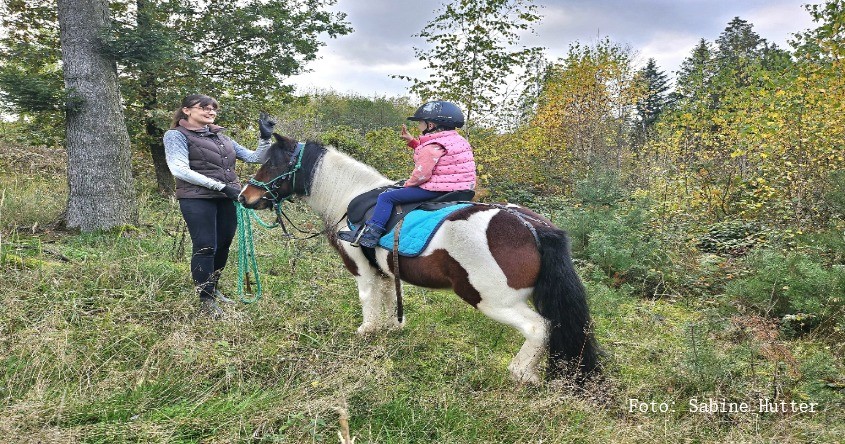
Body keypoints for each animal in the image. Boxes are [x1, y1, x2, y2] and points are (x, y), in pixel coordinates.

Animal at [239, 134, 601, 384]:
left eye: (273, 165)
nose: (245, 197)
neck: (351, 198)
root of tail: (532, 226)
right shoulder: (384, 272)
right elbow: (388, 301)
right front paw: (389, 329)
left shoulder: (362, 271)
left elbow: (369, 301)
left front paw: (367, 331)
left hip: (494, 301)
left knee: (539, 328)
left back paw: (520, 373)